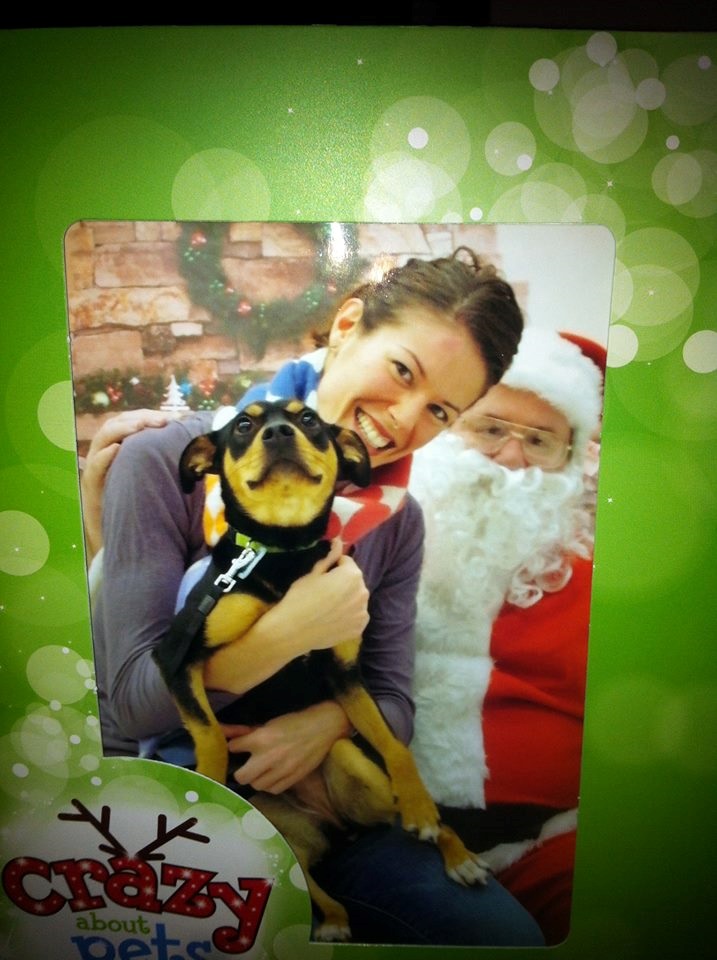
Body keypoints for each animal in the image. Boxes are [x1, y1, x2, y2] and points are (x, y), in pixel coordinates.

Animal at [152, 399, 489, 941]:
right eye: (243, 425)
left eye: (308, 419)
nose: (278, 433)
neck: (282, 552)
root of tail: (334, 829)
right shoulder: (175, 656)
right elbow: (211, 735)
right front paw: (209, 781)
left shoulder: (346, 673)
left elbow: (395, 744)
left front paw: (421, 804)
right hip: (276, 840)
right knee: (306, 881)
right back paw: (332, 919)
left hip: (351, 764)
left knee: (417, 820)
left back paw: (455, 852)